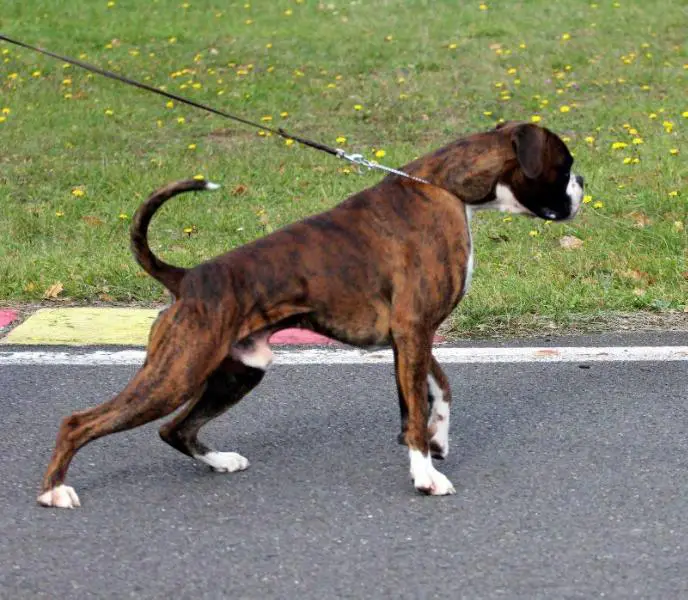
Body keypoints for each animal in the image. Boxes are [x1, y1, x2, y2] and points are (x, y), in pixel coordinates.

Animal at [37, 122, 584, 506]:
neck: (444, 186)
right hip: (177, 373)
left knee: (175, 429)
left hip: (239, 370)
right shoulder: (413, 330)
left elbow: (436, 392)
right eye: (565, 165)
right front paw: (426, 474)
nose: (583, 181)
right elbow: (418, 408)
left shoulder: (412, 336)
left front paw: (436, 440)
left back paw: (221, 461)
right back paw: (54, 491)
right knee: (80, 422)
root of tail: (187, 278)